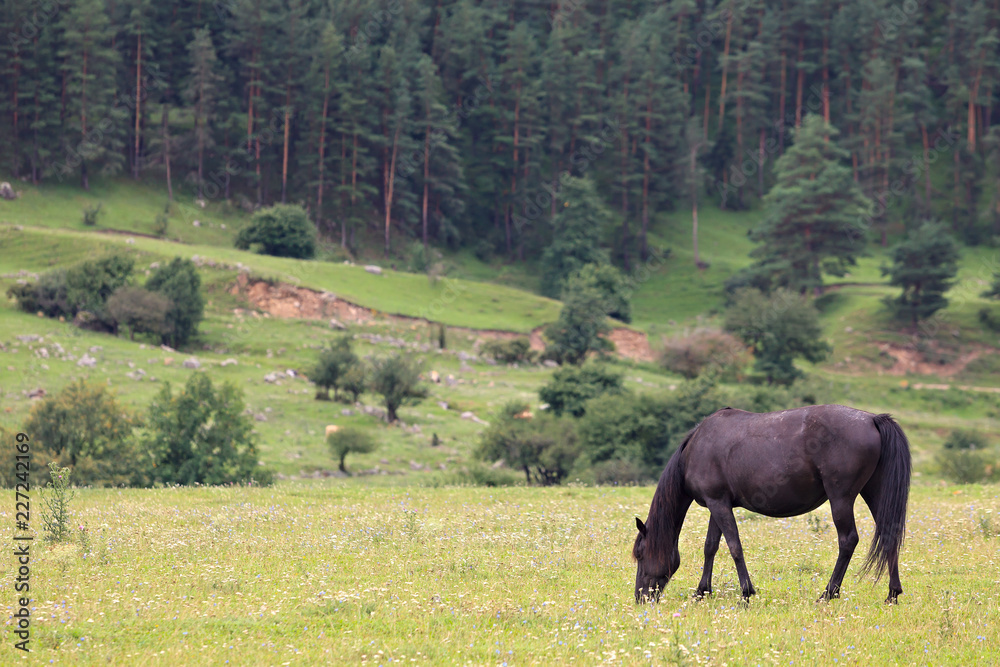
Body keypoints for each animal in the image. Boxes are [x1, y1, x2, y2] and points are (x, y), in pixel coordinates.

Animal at [636, 408, 912, 604]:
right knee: (889, 534)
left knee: (848, 540)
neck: (696, 448)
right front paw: (702, 592)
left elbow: (734, 546)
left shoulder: (719, 504)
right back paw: (892, 594)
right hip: (874, 493)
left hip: (841, 499)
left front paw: (746, 593)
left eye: (639, 554)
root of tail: (872, 419)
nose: (640, 596)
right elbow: (711, 547)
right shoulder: (718, 504)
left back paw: (828, 594)